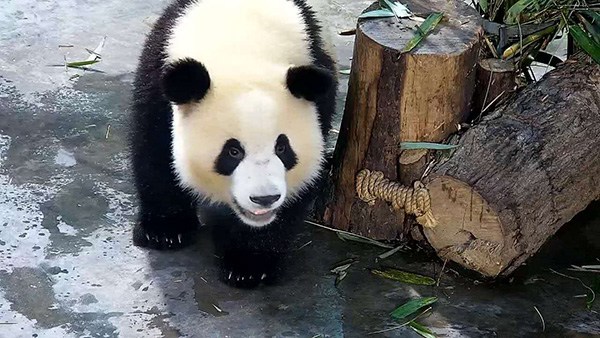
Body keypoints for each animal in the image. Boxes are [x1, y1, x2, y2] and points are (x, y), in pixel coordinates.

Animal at [129, 0, 338, 288]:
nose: (265, 198)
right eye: (233, 151)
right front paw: (165, 231)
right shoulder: (159, 67)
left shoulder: (317, 82)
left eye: (282, 148)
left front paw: (249, 263)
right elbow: (155, 150)